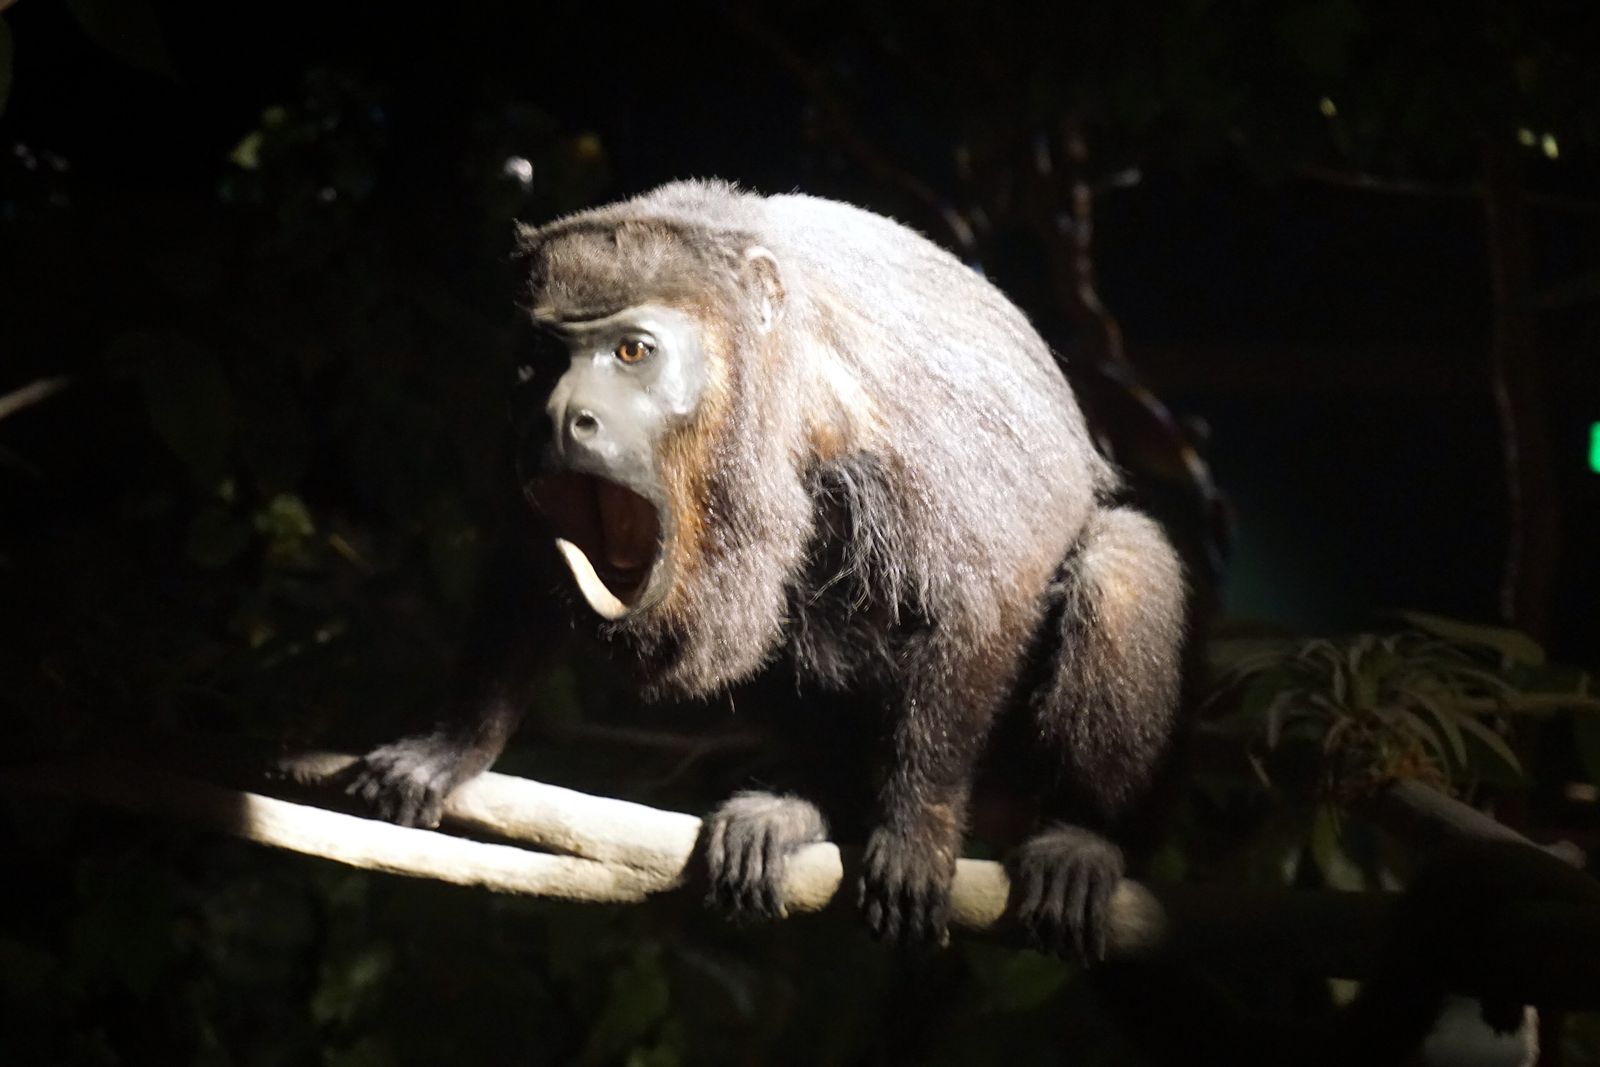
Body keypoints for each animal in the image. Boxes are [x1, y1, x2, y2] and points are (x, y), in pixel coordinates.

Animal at [346, 178, 1189, 959]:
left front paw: (920, 826)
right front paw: (449, 748)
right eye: (538, 362)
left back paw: (1080, 836)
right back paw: (800, 800)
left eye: (632, 351)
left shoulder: (857, 404)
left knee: (1118, 560)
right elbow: (525, 557)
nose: (558, 415)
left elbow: (985, 592)